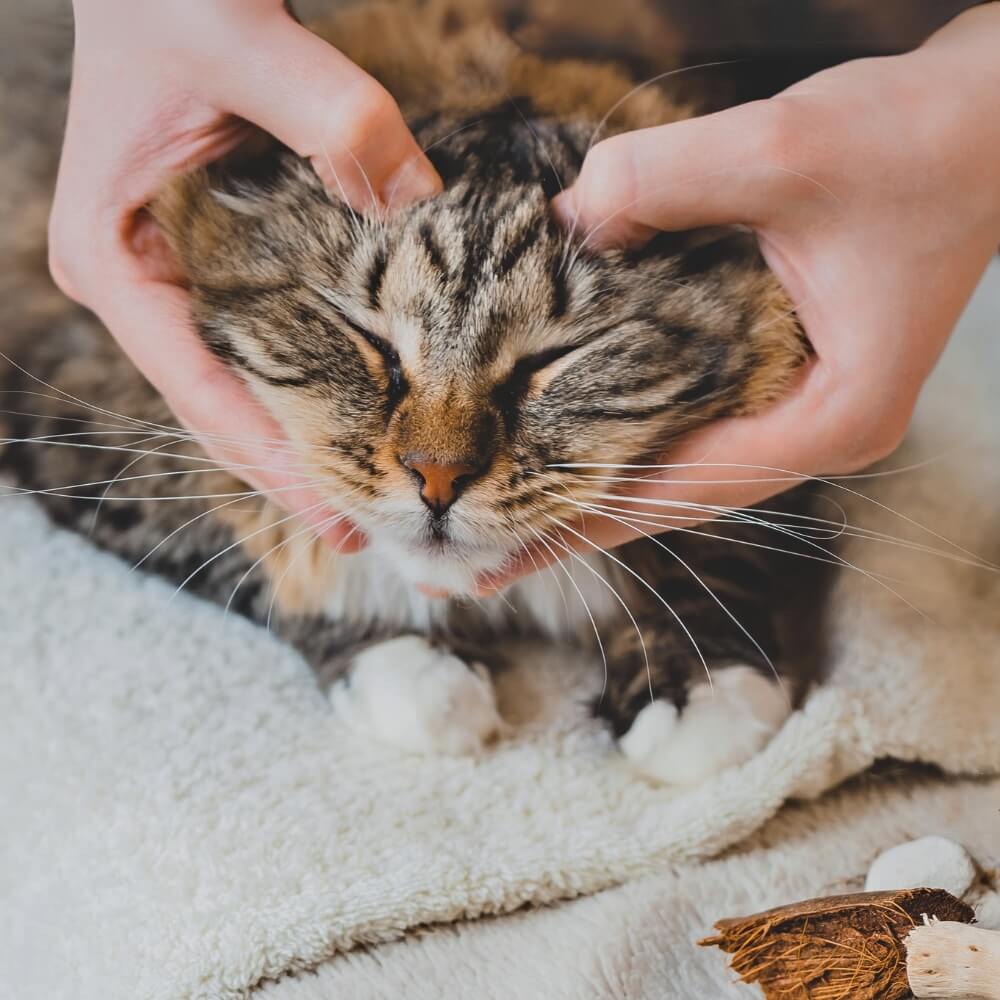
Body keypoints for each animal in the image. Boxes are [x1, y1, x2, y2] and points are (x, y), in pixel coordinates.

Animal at [0, 0, 820, 784]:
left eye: (551, 359)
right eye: (369, 339)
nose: (438, 477)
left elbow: (714, 550)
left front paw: (702, 690)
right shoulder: (87, 424)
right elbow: (259, 555)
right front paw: (418, 679)